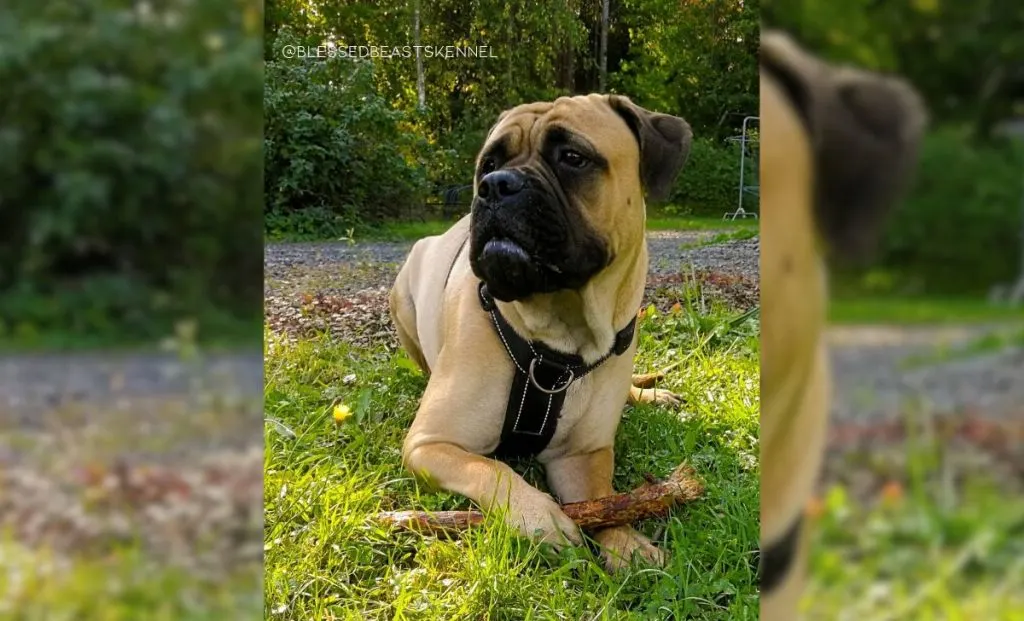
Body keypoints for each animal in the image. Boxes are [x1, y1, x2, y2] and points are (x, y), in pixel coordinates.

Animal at [387, 94, 692, 573]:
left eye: (573, 157)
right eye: (489, 163)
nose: (495, 185)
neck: (557, 344)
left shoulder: (581, 457)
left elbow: (605, 497)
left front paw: (627, 541)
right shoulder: (430, 444)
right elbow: (493, 469)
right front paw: (539, 516)